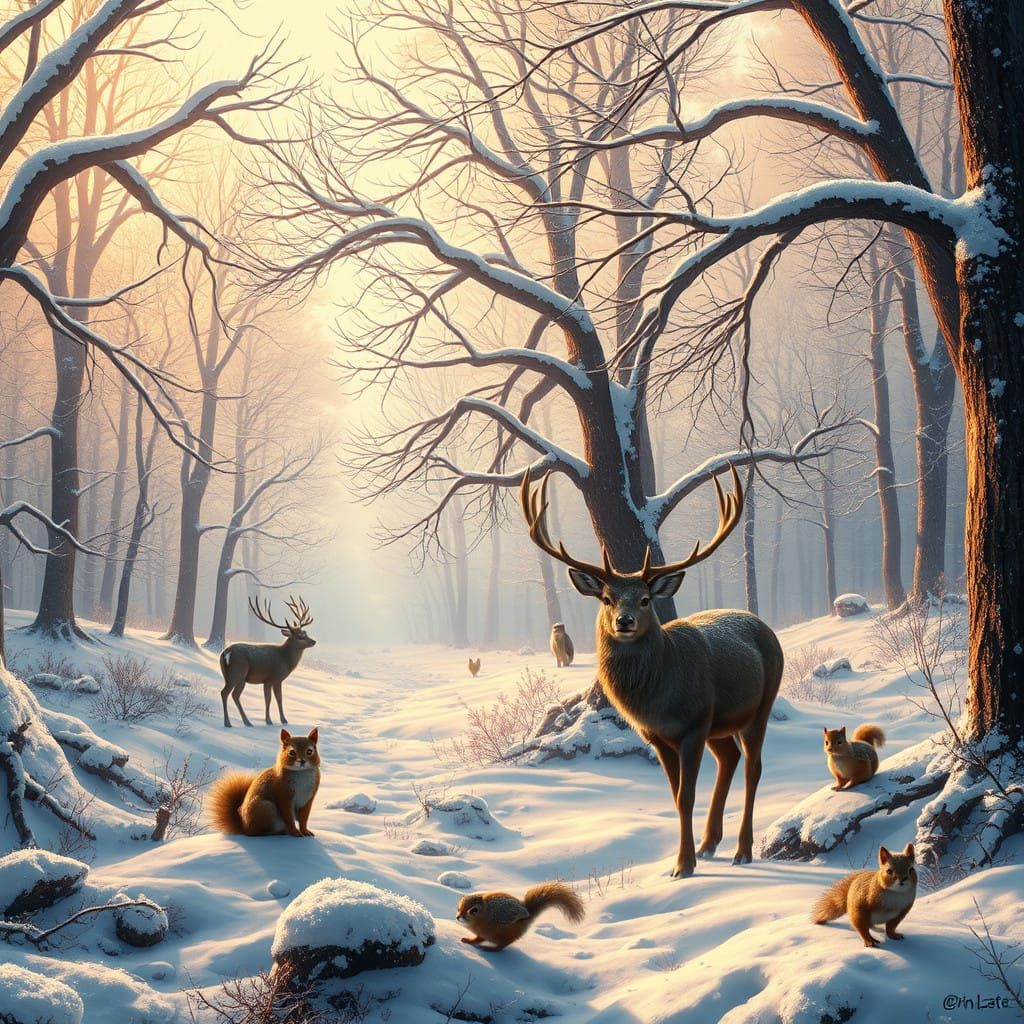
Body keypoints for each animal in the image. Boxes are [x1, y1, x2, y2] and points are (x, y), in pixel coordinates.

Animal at [219, 596, 316, 728]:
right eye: (300, 636)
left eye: (305, 633)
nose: (313, 641)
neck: (285, 659)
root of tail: (226, 653)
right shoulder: (273, 678)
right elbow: (274, 699)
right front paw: (277, 720)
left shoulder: (269, 681)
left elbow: (272, 699)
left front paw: (273, 720)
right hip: (238, 672)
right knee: (226, 693)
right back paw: (228, 723)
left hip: (230, 675)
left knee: (234, 695)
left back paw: (246, 722)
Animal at [521, 467, 783, 878]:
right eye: (607, 598)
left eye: (645, 599)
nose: (624, 621)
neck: (658, 700)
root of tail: (765, 627)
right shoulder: (657, 735)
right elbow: (675, 797)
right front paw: (684, 859)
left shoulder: (693, 723)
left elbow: (686, 795)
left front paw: (684, 865)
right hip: (719, 724)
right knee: (729, 758)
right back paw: (710, 843)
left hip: (761, 703)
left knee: (753, 767)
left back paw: (742, 850)